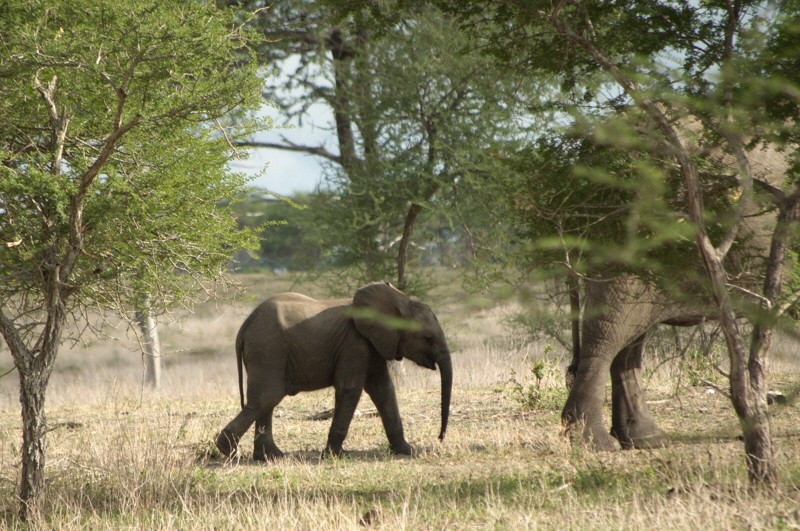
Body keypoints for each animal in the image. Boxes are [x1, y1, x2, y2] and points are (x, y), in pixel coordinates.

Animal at [212, 282, 450, 462]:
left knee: (266, 400)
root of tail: (243, 327)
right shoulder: (354, 344)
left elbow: (383, 389)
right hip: (267, 349)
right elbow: (350, 390)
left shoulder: (373, 345)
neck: (396, 301)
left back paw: (270, 457)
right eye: (428, 338)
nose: (440, 438)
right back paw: (227, 449)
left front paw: (406, 451)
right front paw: (334, 455)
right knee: (267, 397)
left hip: (266, 351)